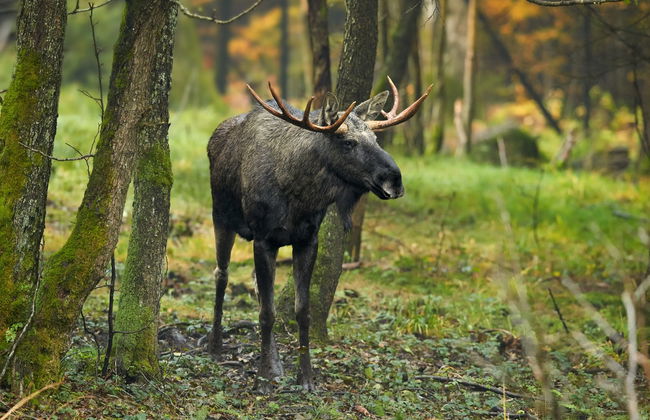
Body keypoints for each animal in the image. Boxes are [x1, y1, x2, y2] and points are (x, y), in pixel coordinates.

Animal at [206, 76, 431, 392]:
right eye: (348, 142)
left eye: (376, 140)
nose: (395, 181)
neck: (298, 194)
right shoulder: (263, 238)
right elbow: (266, 313)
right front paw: (262, 380)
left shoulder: (307, 240)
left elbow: (302, 310)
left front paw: (306, 378)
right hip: (221, 216)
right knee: (221, 274)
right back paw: (215, 345)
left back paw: (275, 362)